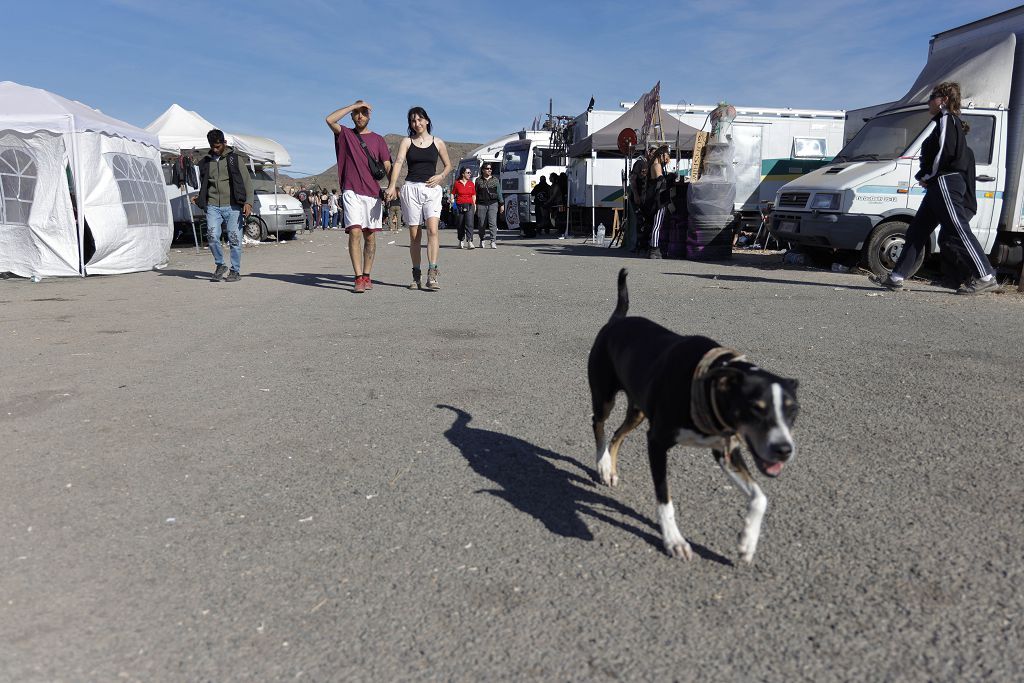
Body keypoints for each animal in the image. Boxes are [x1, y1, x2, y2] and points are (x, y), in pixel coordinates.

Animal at [585, 270, 798, 565]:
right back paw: (602, 464)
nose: (784, 450)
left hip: (639, 411)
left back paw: (610, 471)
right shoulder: (657, 442)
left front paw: (747, 543)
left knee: (617, 434)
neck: (706, 384)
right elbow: (665, 499)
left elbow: (759, 498)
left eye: (793, 411)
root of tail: (616, 320)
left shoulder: (725, 449)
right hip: (605, 395)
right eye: (756, 408)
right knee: (599, 423)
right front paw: (674, 540)